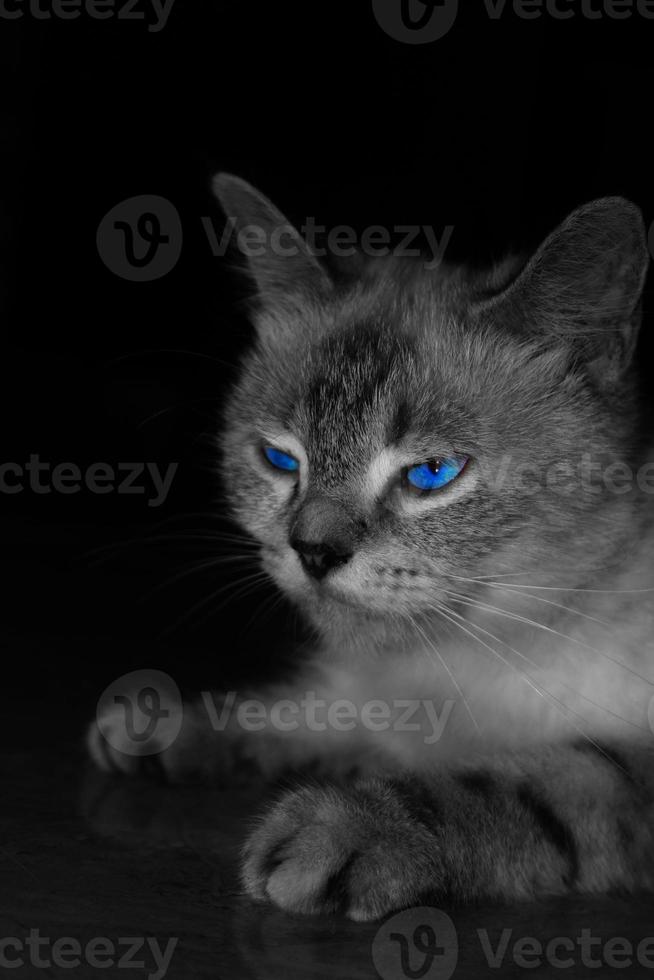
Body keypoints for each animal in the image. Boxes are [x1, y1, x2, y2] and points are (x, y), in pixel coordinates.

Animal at [88, 174, 654, 920]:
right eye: (279, 459)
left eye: (432, 474)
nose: (312, 551)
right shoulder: (378, 691)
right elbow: (308, 709)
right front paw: (166, 725)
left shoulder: (625, 766)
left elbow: (532, 785)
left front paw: (345, 829)